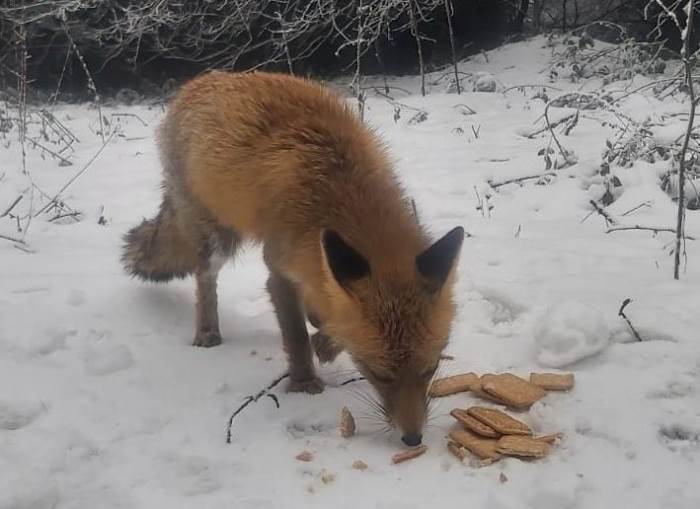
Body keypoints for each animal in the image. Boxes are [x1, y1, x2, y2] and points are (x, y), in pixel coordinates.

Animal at [121, 70, 464, 444]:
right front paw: (305, 382)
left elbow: (329, 317)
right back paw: (208, 332)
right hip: (218, 239)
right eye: (379, 374)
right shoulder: (280, 269)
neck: (336, 191)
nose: (413, 438)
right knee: (204, 278)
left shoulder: (323, 267)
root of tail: (199, 80)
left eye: (431, 368)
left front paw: (325, 341)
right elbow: (297, 336)